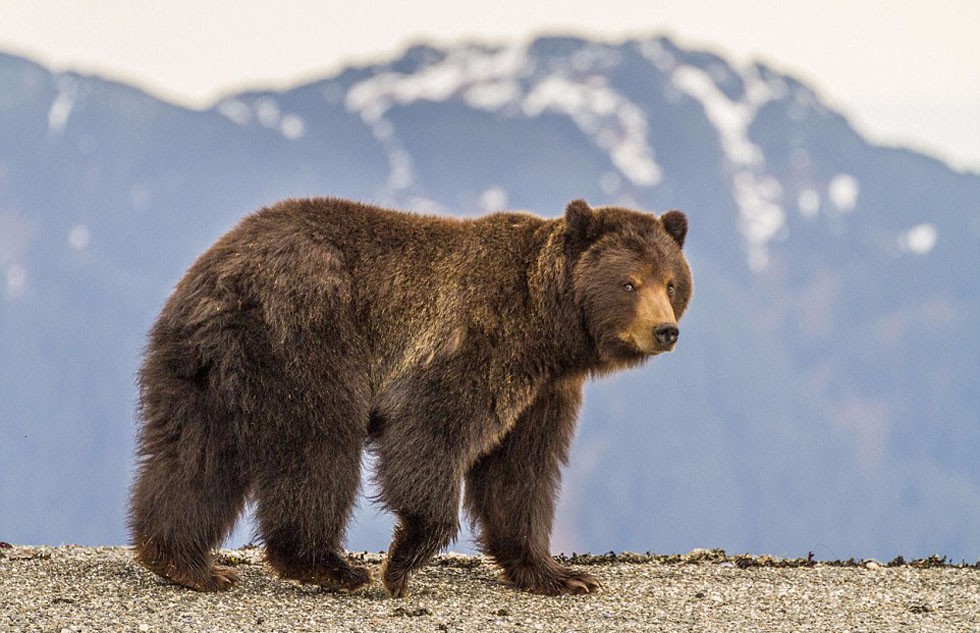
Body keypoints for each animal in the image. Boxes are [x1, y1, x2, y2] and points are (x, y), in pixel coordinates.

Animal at [128, 198, 688, 596]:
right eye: (629, 282)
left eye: (671, 281)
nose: (665, 330)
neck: (549, 329)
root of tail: (218, 273)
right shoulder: (475, 337)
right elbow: (431, 432)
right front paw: (401, 562)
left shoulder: (544, 390)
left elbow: (521, 472)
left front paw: (562, 576)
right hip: (303, 334)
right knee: (317, 448)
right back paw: (327, 566)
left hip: (201, 371)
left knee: (194, 456)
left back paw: (185, 562)